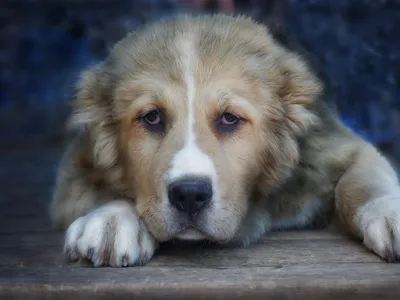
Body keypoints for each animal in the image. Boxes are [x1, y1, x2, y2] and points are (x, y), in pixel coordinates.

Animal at [50, 14, 400, 268]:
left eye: (229, 119)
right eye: (152, 118)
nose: (190, 195)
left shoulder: (337, 148)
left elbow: (360, 183)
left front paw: (388, 212)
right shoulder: (73, 169)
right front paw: (112, 219)